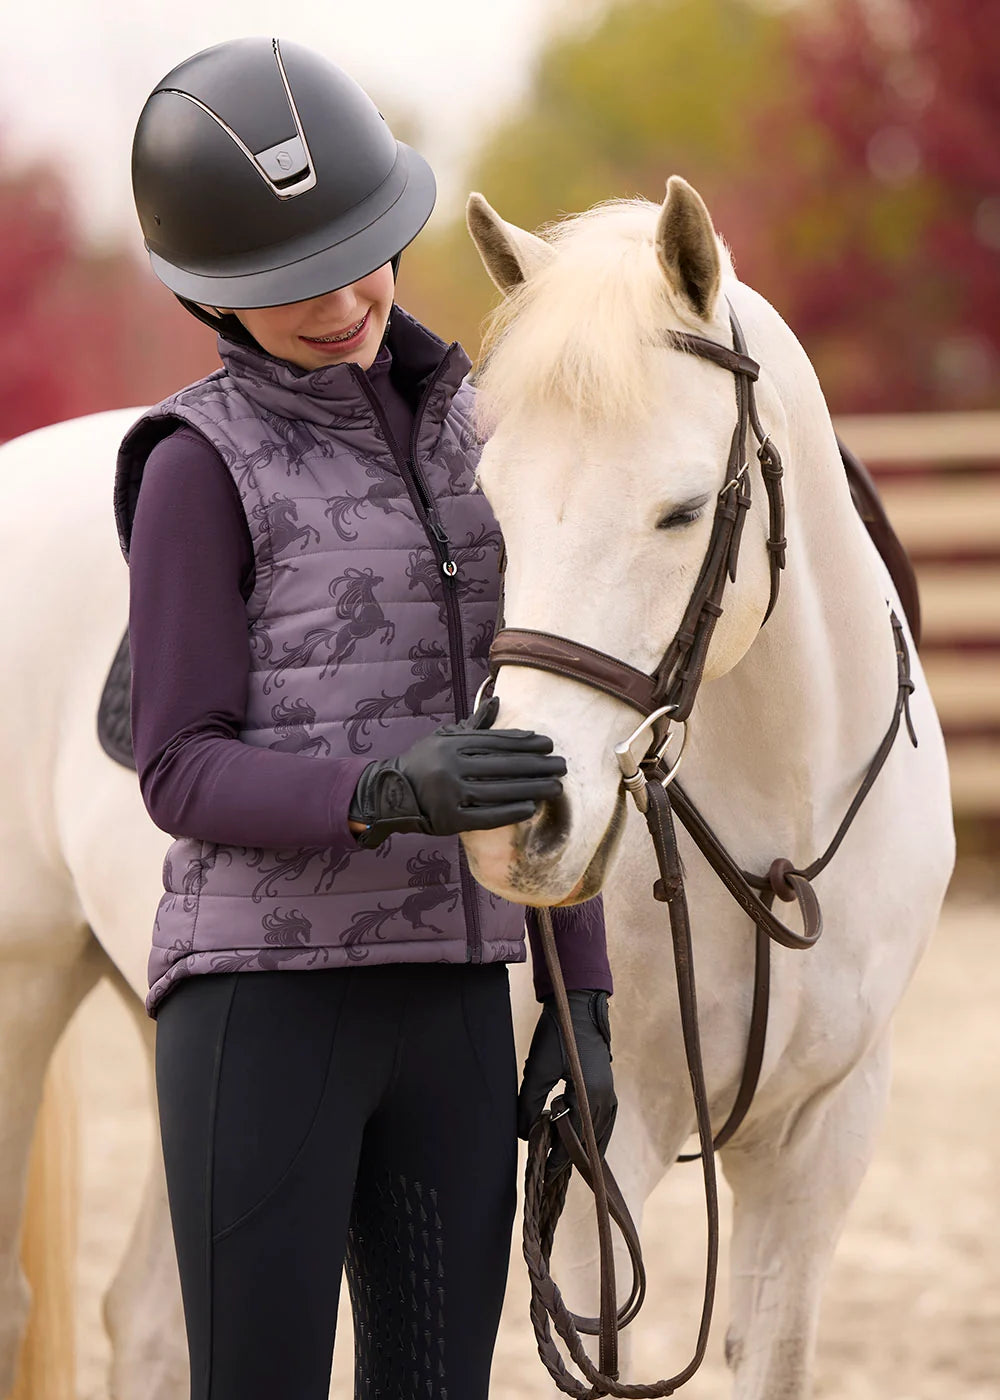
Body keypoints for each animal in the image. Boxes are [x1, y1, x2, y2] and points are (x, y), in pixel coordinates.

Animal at [458, 176, 954, 1396]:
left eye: (683, 511)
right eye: (494, 498)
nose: (518, 823)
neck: (779, 810)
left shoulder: (824, 1137)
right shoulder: (599, 1153)